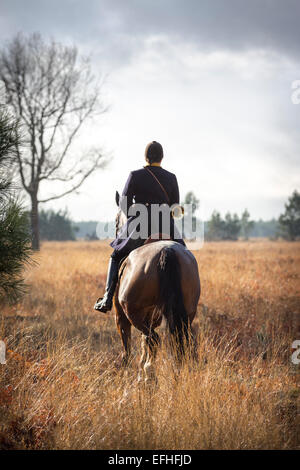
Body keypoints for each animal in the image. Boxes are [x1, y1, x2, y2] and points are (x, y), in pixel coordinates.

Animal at [112, 193, 199, 380]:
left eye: (116, 222)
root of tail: (167, 251)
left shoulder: (121, 317)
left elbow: (129, 347)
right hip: (186, 314)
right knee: (179, 342)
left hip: (133, 313)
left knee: (154, 339)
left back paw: (148, 371)